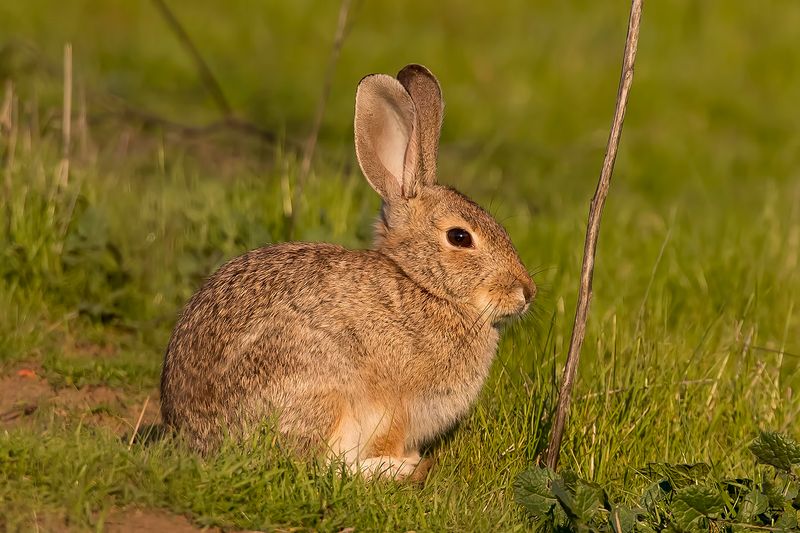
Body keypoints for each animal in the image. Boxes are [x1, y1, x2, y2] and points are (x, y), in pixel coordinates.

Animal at [160, 64, 536, 482]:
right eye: (460, 237)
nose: (526, 292)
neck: (423, 287)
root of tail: (195, 439)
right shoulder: (395, 407)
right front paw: (404, 461)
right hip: (320, 396)